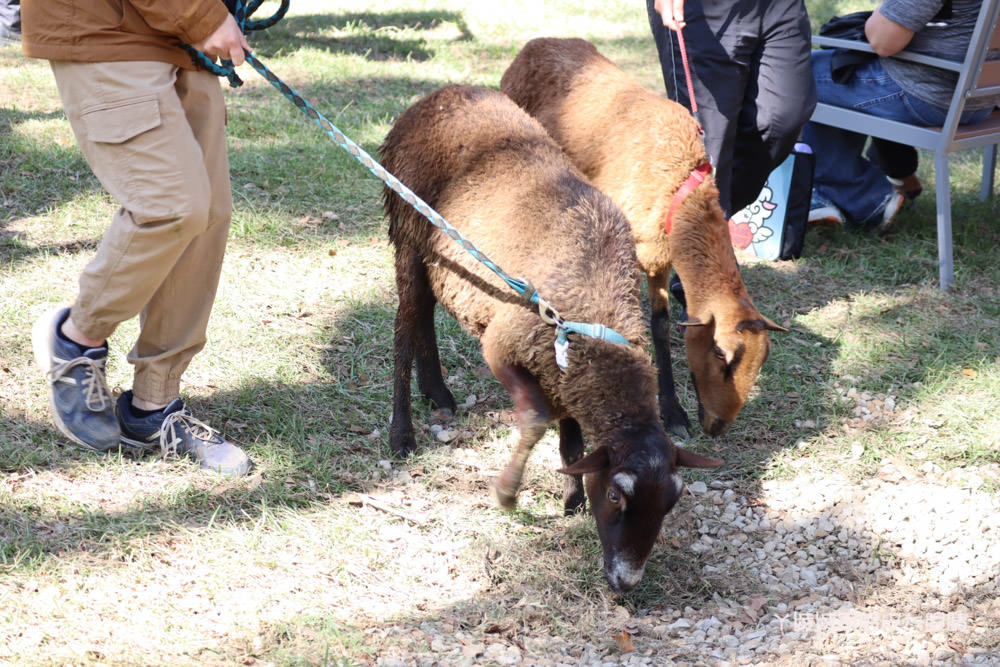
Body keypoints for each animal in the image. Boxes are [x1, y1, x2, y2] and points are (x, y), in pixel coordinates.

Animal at [380, 85, 720, 596]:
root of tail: (436, 96)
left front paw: (572, 496)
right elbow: (538, 419)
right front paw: (507, 493)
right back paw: (402, 432)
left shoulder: (566, 368)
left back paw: (436, 391)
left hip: (439, 259)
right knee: (405, 330)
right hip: (409, 235)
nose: (627, 582)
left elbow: (573, 441)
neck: (596, 318)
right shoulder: (505, 345)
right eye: (616, 495)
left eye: (671, 502)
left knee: (423, 319)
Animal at [504, 39, 784, 440]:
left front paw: (673, 411)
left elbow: (661, 326)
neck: (682, 187)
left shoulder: (659, 260)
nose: (717, 427)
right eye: (720, 354)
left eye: (763, 359)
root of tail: (535, 43)